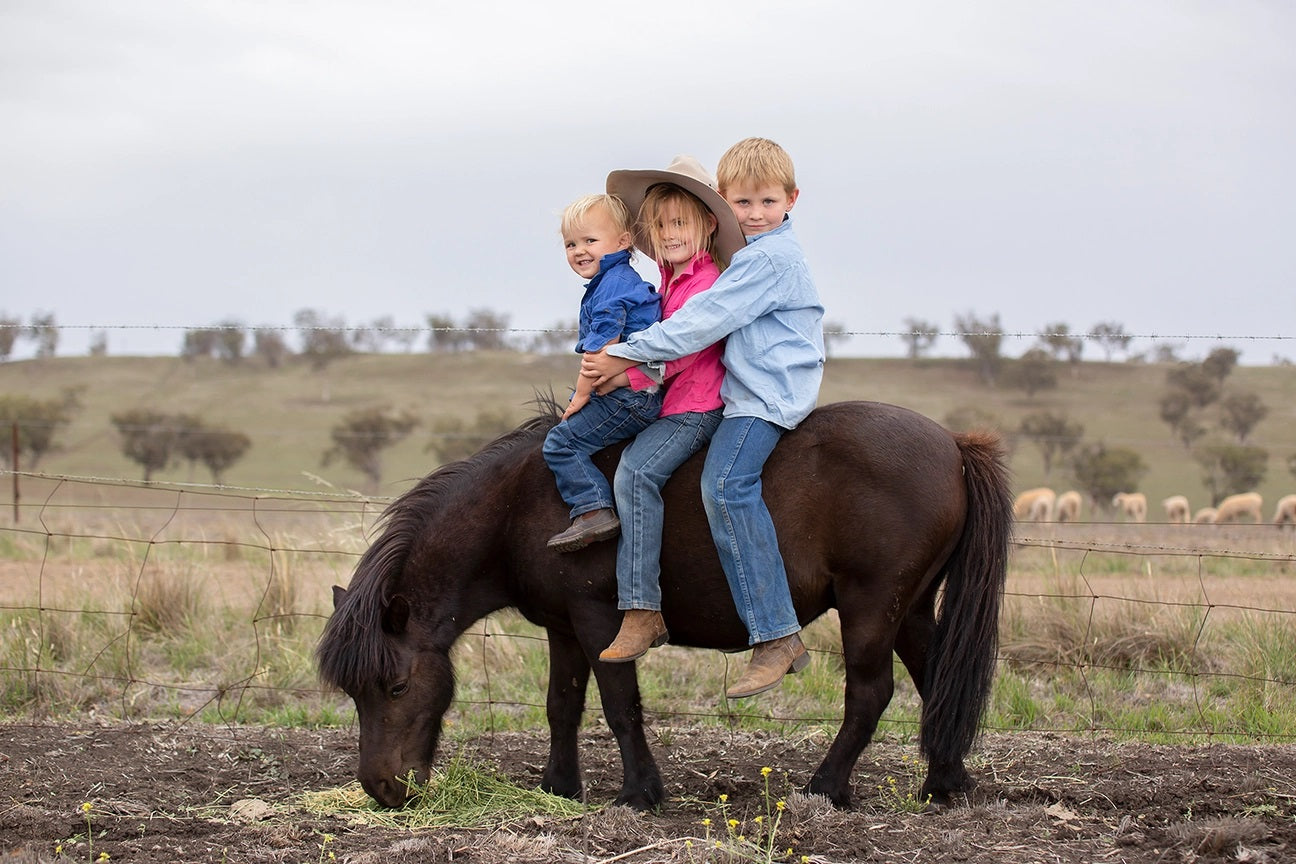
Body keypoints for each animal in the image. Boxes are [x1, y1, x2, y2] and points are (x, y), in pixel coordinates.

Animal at [313, 404, 1010, 813]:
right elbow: (561, 706)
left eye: (396, 687)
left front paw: (641, 794)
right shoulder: (565, 628)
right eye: (354, 693)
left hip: (871, 608)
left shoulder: (601, 622)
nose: (381, 789)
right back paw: (945, 784)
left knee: (870, 695)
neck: (521, 505)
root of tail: (954, 444)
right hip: (910, 609)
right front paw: (559, 786)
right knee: (936, 682)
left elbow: (621, 706)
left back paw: (824, 789)